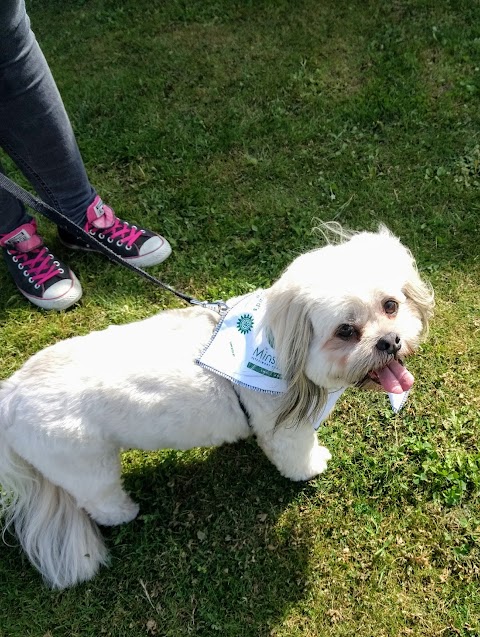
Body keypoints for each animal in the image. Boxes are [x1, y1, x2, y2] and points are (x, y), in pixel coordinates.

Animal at [0, 226, 434, 588]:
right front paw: (312, 467)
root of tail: (12, 394)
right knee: (99, 498)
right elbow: (297, 457)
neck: (276, 350)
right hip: (87, 465)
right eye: (346, 331)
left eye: (391, 306)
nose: (390, 341)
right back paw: (124, 512)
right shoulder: (284, 431)